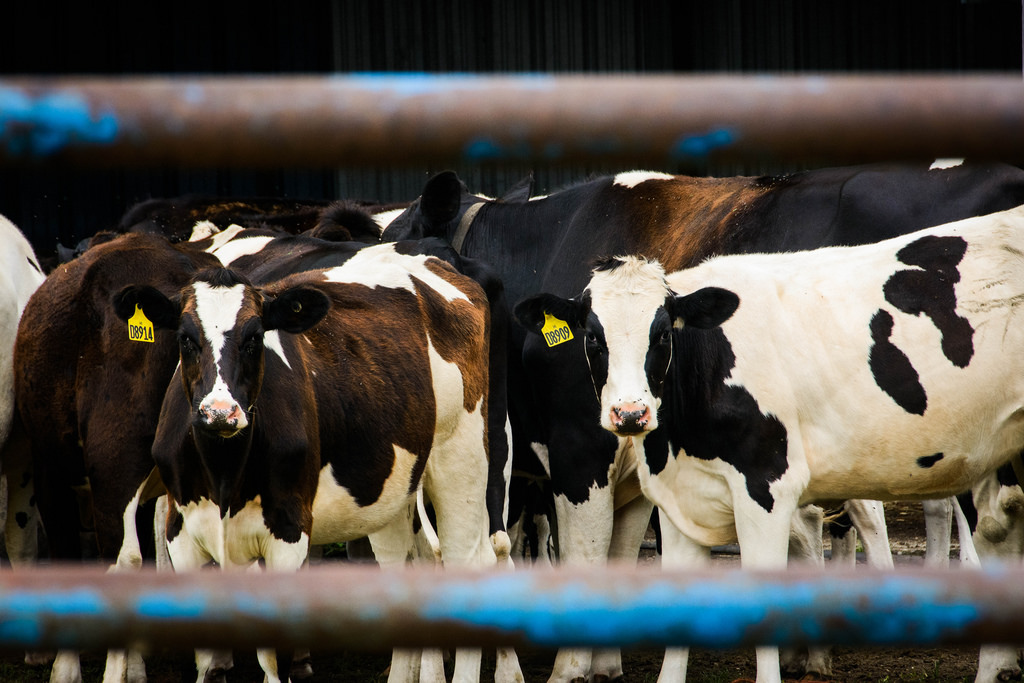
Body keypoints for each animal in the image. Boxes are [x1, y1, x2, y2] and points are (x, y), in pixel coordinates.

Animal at [114, 245, 520, 683]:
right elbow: (207, 661)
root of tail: (436, 261)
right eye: (186, 339)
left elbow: (276, 659)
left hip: (462, 455)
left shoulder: (289, 530)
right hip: (391, 481)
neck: (226, 473)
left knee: (469, 562)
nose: (220, 412)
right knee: (404, 563)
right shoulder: (181, 532)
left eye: (255, 337)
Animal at [385, 161, 1024, 683]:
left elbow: (586, 551)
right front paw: (607, 660)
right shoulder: (646, 460)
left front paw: (571, 667)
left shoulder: (581, 447)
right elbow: (621, 550)